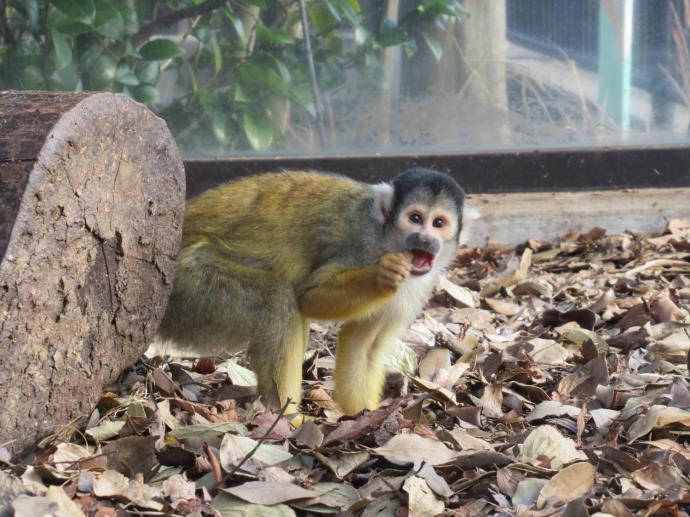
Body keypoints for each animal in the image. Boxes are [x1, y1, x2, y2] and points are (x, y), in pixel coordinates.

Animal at [157, 169, 462, 416]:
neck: (387, 237)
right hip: (186, 288)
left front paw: (363, 415)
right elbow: (309, 295)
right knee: (277, 300)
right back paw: (284, 416)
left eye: (438, 223)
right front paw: (380, 276)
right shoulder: (362, 243)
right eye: (415, 218)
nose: (425, 239)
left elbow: (363, 344)